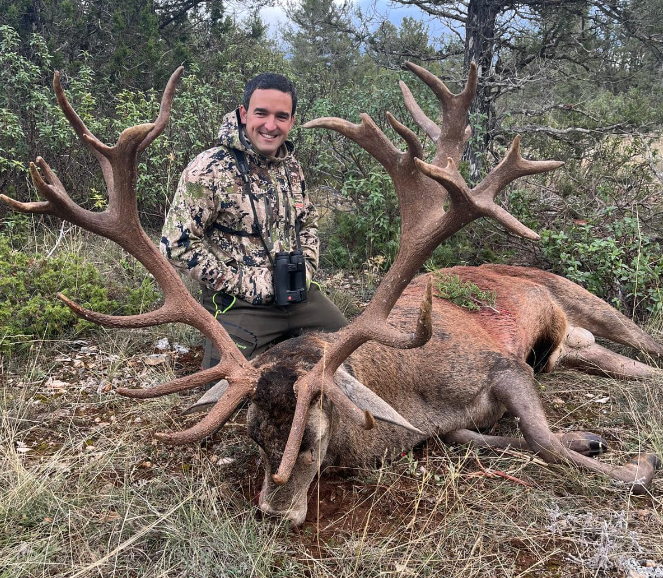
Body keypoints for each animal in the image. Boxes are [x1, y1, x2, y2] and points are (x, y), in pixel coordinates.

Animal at [3, 63, 660, 528]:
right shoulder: (444, 427)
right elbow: (489, 438)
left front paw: (637, 464)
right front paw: (588, 438)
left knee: (642, 347)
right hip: (579, 343)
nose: (273, 511)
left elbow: (542, 440)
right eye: (252, 435)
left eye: (313, 432)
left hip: (578, 298)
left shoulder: (501, 366)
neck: (407, 400)